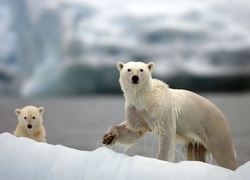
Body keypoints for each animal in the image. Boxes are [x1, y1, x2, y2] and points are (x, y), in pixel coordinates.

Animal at [102, 61, 238, 170]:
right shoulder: (135, 110)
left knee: (224, 153)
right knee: (195, 153)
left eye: (141, 69)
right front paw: (108, 137)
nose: (135, 78)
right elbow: (134, 130)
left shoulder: (161, 109)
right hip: (195, 139)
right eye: (129, 69)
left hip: (212, 126)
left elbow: (166, 134)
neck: (144, 98)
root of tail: (220, 112)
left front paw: (160, 161)